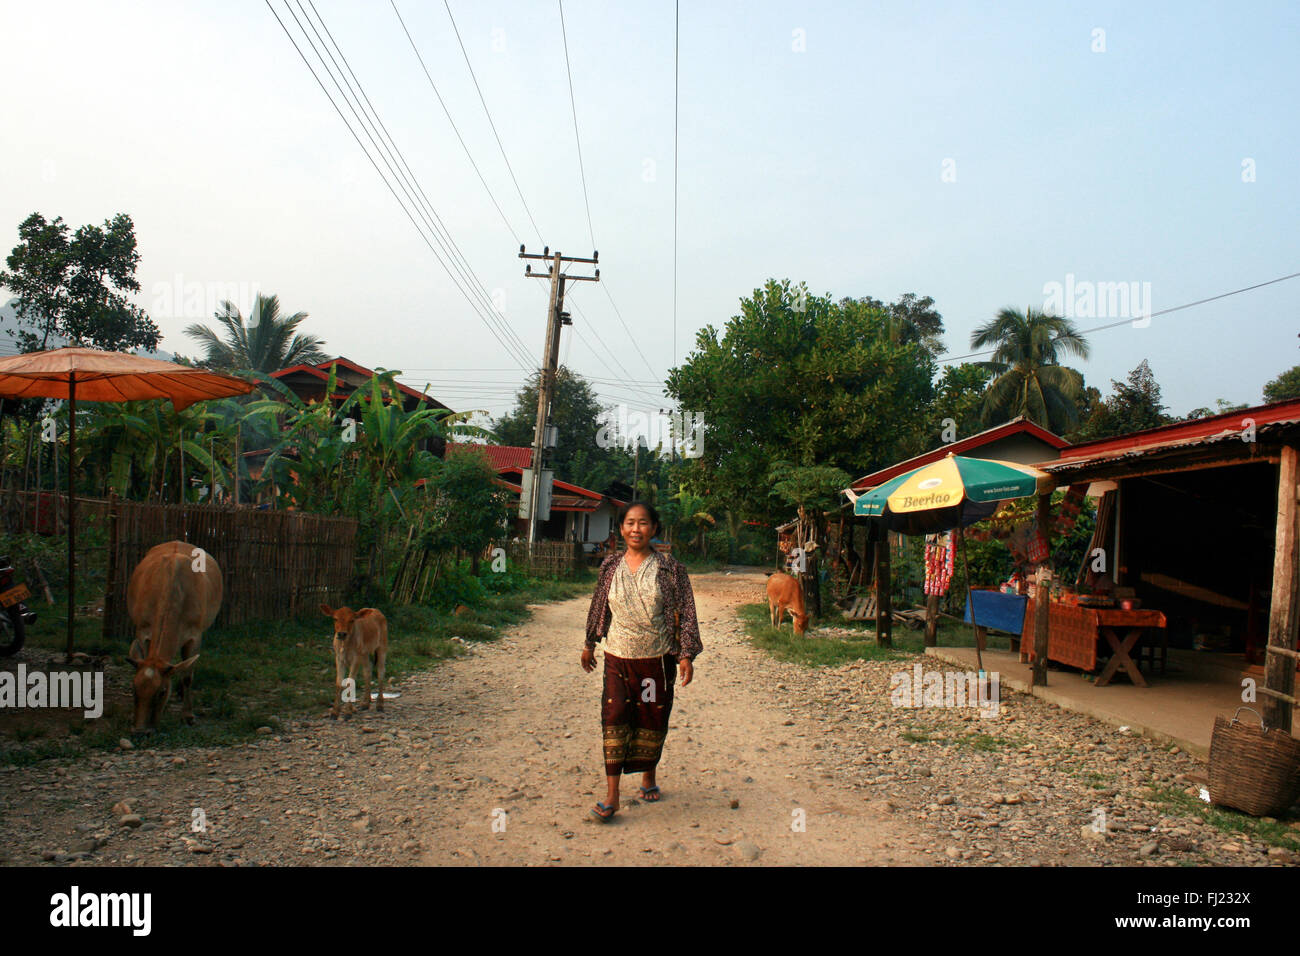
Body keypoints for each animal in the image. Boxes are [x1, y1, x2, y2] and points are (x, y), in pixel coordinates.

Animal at [126, 538, 223, 733]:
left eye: (162, 692)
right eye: (133, 688)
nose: (140, 731)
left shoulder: (195, 635)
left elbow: (187, 675)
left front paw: (188, 716)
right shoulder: (143, 629)